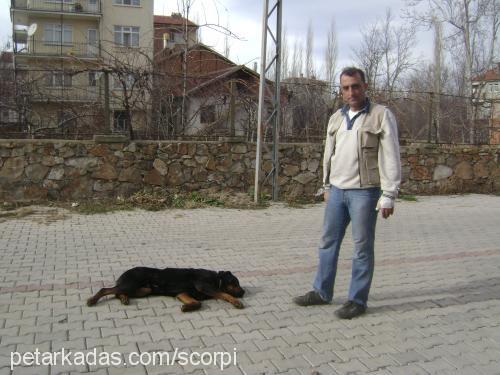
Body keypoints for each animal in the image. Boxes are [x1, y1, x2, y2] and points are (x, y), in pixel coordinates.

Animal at [86, 268, 246, 312]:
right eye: (235, 283)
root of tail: (124, 273)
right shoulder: (204, 286)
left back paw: (124, 298)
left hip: (145, 289)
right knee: (106, 289)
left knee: (117, 292)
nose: (244, 292)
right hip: (131, 284)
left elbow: (197, 302)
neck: (217, 280)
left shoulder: (182, 293)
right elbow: (223, 293)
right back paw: (92, 300)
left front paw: (187, 307)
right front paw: (236, 302)